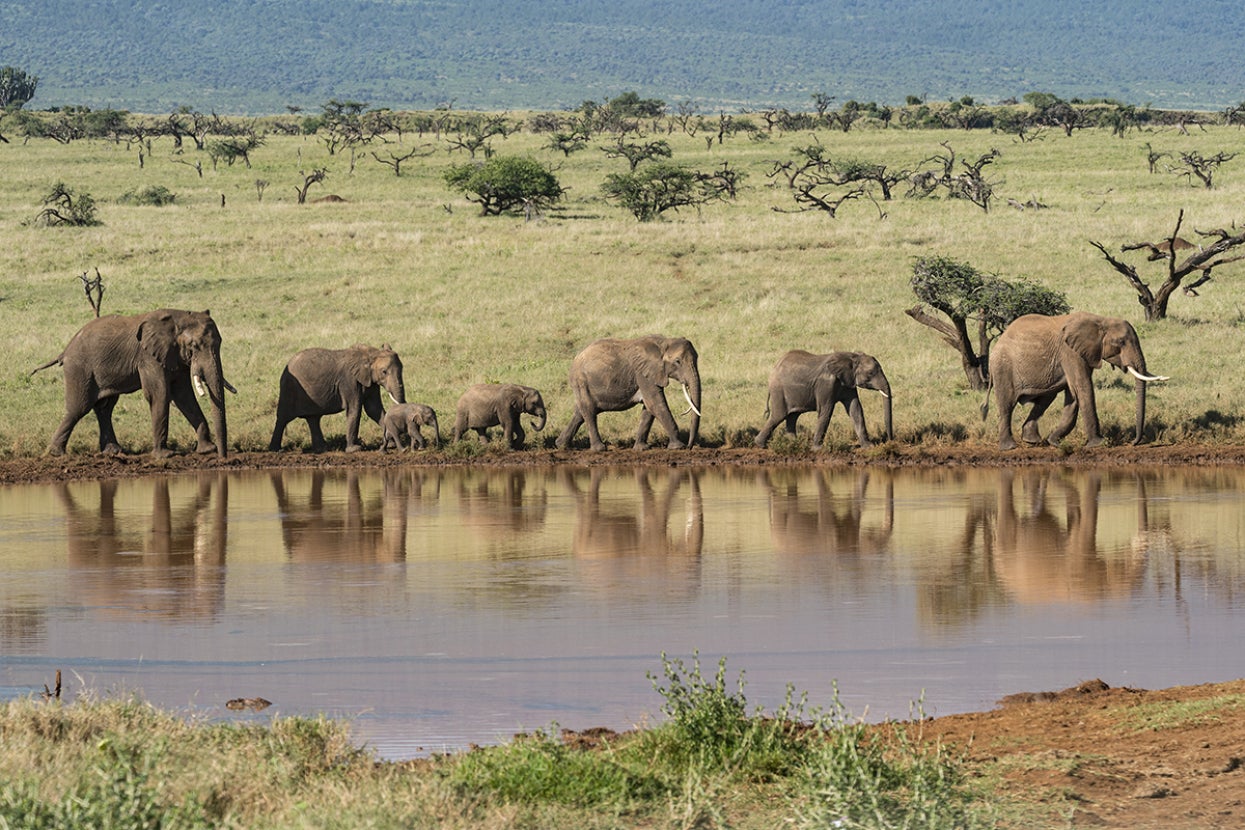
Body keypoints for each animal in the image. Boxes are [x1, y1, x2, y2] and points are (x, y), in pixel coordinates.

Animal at [32, 309, 232, 458]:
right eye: (195, 346)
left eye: (220, 342)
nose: (223, 458)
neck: (179, 317)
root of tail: (65, 351)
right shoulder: (148, 357)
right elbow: (160, 394)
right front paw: (166, 455)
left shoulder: (176, 357)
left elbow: (184, 396)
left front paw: (207, 450)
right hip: (79, 369)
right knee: (78, 408)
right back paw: (56, 454)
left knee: (105, 408)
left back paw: (114, 452)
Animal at [269, 344, 406, 452]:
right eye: (384, 372)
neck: (371, 353)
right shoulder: (349, 381)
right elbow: (355, 410)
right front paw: (355, 449)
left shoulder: (370, 382)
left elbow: (374, 410)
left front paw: (391, 445)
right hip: (288, 388)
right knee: (283, 418)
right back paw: (276, 450)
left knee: (313, 418)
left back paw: (322, 449)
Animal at [555, 335, 702, 451]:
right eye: (677, 362)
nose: (690, 446)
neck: (663, 342)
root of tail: (575, 358)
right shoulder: (643, 374)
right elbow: (655, 404)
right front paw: (678, 447)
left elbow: (648, 408)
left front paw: (641, 449)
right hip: (581, 381)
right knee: (589, 411)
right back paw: (599, 449)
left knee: (580, 412)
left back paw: (561, 446)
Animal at [754, 350, 893, 449]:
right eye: (870, 373)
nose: (891, 441)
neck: (852, 356)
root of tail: (774, 368)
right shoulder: (826, 384)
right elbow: (826, 410)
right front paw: (817, 449)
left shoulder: (848, 383)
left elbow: (855, 409)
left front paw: (869, 447)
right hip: (779, 391)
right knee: (779, 415)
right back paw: (760, 445)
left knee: (792, 416)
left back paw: (795, 444)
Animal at [985, 312, 1167, 450]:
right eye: (1121, 342)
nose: (1134, 442)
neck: (1101, 320)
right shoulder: (1070, 352)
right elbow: (1083, 387)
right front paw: (1099, 444)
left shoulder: (1087, 353)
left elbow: (1073, 395)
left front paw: (1055, 442)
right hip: (1003, 368)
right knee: (1007, 405)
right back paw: (1009, 447)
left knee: (1046, 399)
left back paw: (1032, 441)